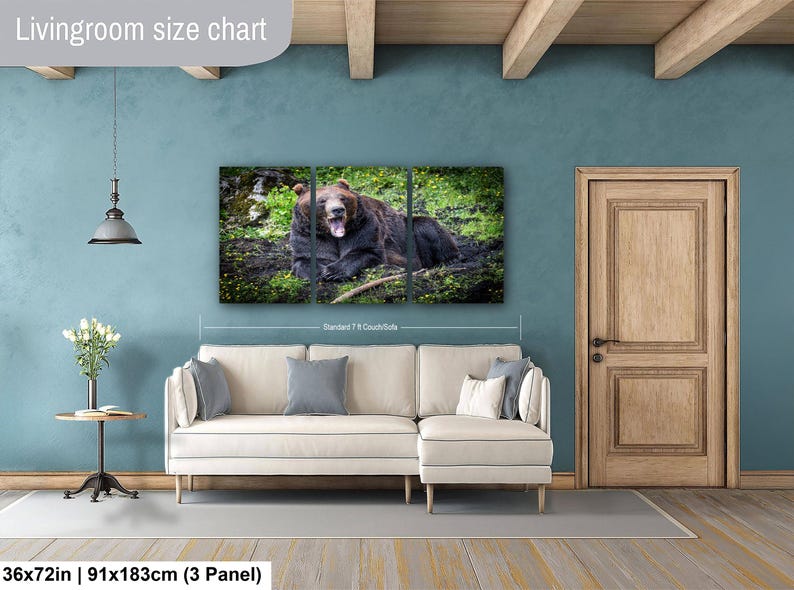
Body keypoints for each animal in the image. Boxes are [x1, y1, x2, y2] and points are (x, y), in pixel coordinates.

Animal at [289, 179, 458, 282]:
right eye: (322, 200)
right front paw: (319, 271)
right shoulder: (306, 234)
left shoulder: (363, 226)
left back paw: (450, 259)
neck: (333, 235)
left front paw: (332, 272)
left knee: (426, 226)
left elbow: (367, 251)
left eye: (342, 198)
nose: (338, 210)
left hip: (409, 230)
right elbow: (304, 259)